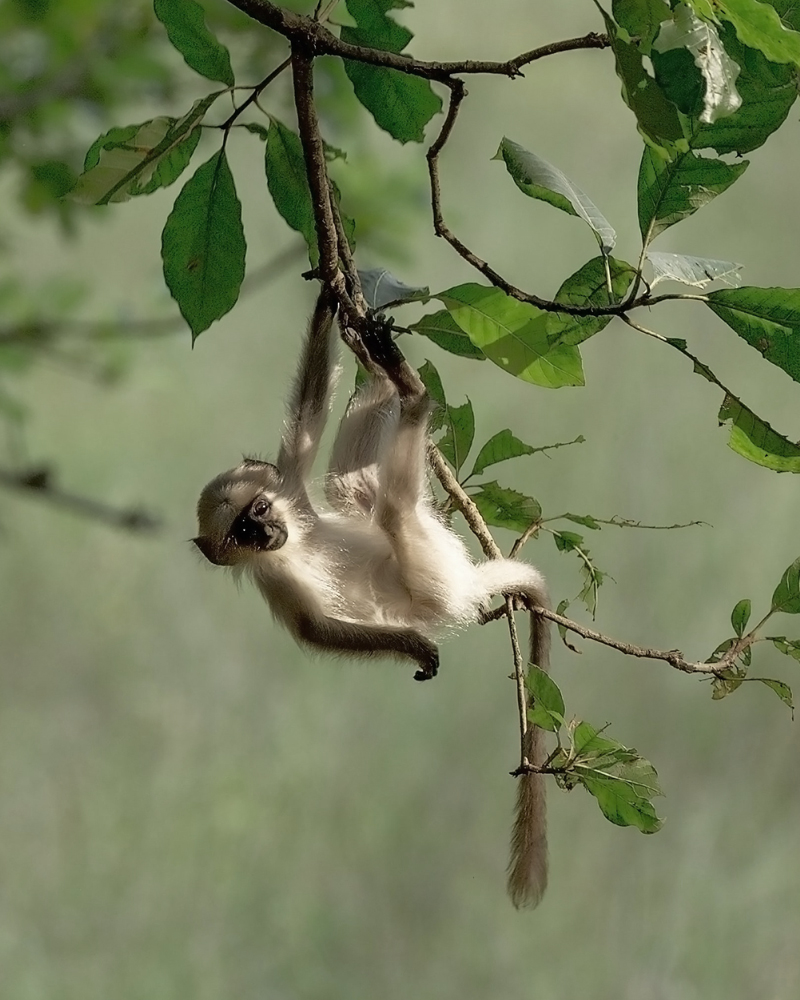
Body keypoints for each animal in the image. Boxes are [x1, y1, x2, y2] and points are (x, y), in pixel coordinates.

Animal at [193, 288, 551, 908]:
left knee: (351, 486)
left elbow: (305, 424)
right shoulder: (273, 577)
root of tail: (466, 582)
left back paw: (382, 368)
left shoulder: (289, 491)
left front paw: (325, 297)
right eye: (240, 532)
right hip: (431, 570)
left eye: (257, 510)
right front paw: (414, 647)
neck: (293, 537)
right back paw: (412, 398)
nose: (265, 532)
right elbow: (313, 630)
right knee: (389, 510)